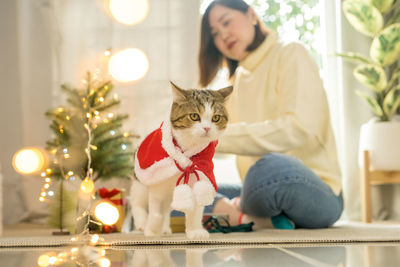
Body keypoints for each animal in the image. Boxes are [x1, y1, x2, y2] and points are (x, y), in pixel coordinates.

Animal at [130, 82, 233, 241]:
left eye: (216, 118)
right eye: (194, 116)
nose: (207, 128)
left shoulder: (200, 174)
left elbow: (195, 210)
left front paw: (195, 231)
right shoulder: (156, 185)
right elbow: (155, 212)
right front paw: (152, 230)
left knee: (166, 209)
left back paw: (165, 228)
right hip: (140, 181)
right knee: (137, 201)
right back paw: (142, 222)